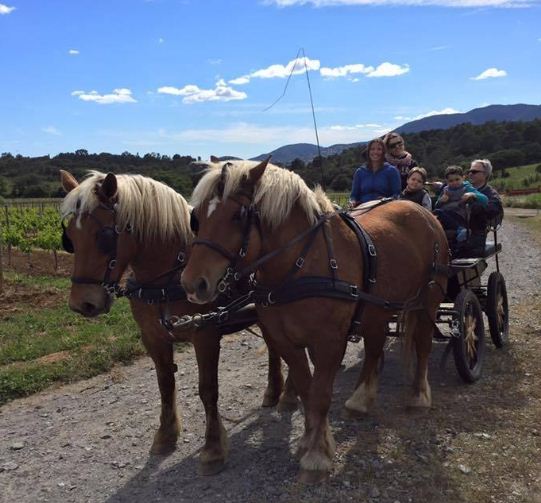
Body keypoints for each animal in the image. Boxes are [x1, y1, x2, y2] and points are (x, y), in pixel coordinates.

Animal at [60, 170, 296, 476]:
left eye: (104, 236)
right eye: (70, 238)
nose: (82, 304)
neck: (166, 279)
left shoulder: (205, 334)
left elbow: (208, 390)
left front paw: (213, 449)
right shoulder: (153, 337)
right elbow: (165, 384)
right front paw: (165, 435)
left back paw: (289, 394)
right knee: (274, 347)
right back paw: (273, 391)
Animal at [179, 160, 446, 484]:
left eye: (237, 215)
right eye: (196, 217)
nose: (192, 284)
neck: (300, 264)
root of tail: (424, 213)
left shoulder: (330, 341)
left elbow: (320, 394)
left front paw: (317, 456)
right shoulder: (286, 341)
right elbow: (307, 390)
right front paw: (310, 440)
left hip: (428, 301)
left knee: (422, 346)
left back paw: (419, 397)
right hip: (378, 309)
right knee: (374, 349)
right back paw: (360, 400)